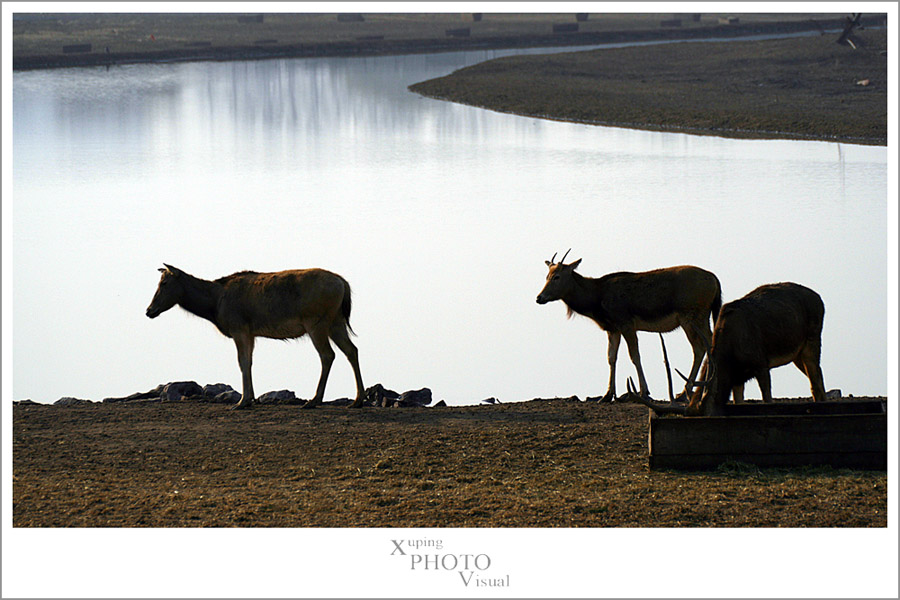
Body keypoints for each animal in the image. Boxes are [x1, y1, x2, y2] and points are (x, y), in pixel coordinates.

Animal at [146, 264, 364, 410]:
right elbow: (249, 361)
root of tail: (344, 285)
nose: (149, 310)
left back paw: (314, 400)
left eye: (164, 283)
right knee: (352, 350)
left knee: (328, 355)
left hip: (316, 322)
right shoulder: (250, 332)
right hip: (336, 321)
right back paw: (358, 400)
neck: (214, 305)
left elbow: (242, 361)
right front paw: (250, 399)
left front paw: (242, 402)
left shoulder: (239, 328)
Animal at [536, 248, 724, 404]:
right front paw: (607, 395)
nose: (539, 297)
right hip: (701, 315)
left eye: (557, 276)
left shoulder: (626, 322)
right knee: (709, 341)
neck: (596, 300)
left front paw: (644, 392)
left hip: (691, 315)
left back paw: (685, 392)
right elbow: (611, 357)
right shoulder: (612, 328)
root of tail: (715, 280)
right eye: (546, 276)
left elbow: (635, 356)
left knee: (699, 347)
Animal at [636, 282, 828, 418]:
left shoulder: (761, 364)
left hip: (813, 340)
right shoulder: (737, 377)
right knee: (816, 381)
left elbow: (767, 398)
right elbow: (738, 402)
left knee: (817, 381)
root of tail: (820, 299)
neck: (731, 351)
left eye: (707, 416)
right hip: (797, 355)